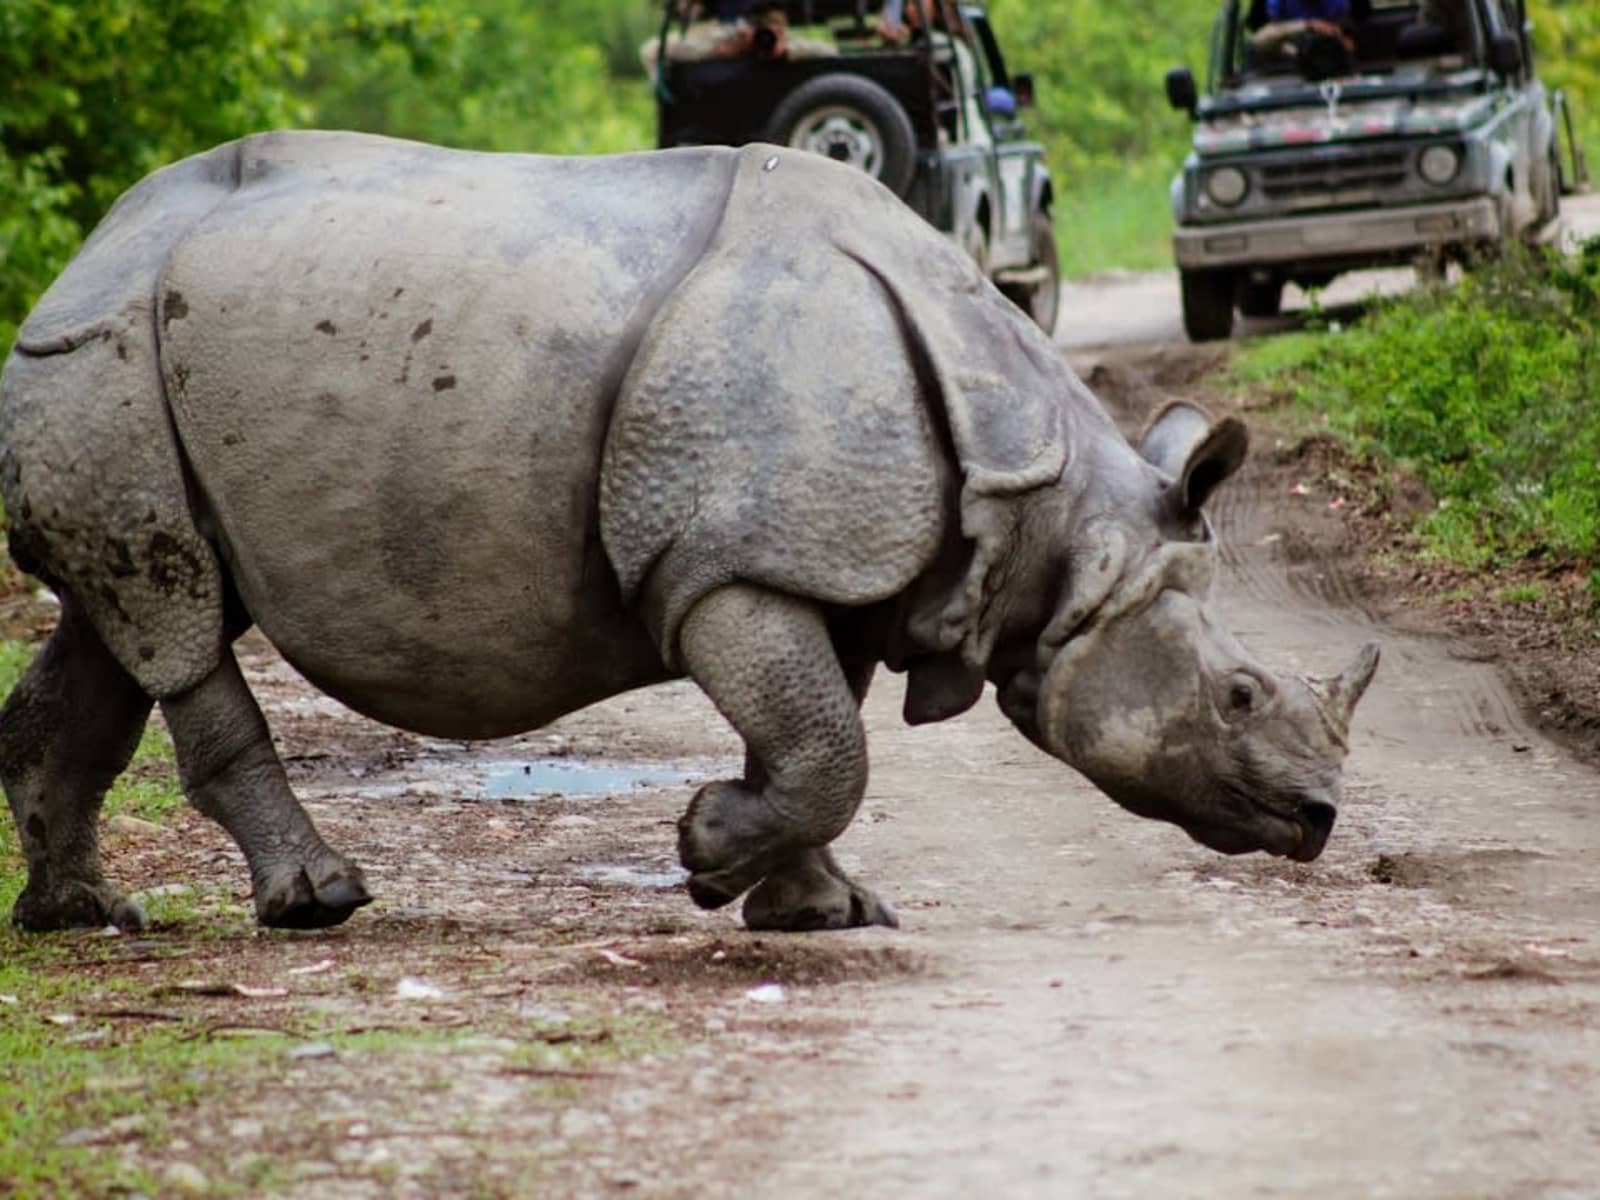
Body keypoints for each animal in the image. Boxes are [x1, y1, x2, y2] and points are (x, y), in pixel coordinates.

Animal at [0, 131, 1378, 935]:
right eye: (1238, 695)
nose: (1317, 821)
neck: (1047, 517)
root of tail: (87, 247)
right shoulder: (720, 566)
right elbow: (823, 748)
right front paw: (709, 854)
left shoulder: (831, 564)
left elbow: (818, 741)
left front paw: (820, 911)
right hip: (106, 352)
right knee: (176, 619)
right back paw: (318, 904)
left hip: (132, 360)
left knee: (124, 618)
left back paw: (82, 918)